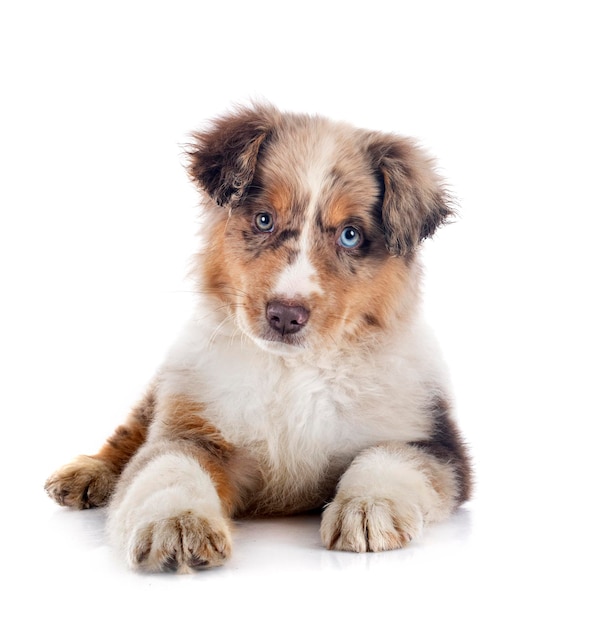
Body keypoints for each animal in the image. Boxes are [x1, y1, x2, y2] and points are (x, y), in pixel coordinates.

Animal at [45, 105, 472, 572]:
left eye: (350, 235)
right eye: (264, 220)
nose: (285, 315)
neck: (292, 372)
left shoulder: (433, 440)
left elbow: (389, 457)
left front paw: (369, 508)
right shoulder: (189, 427)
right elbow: (167, 468)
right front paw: (177, 525)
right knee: (130, 428)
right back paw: (86, 473)